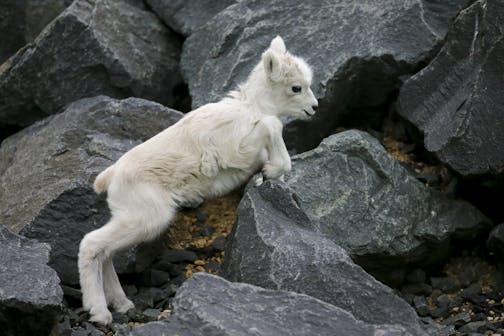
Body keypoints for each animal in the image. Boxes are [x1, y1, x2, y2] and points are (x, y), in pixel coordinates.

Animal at [77, 35, 316, 324]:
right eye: (296, 88)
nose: (314, 108)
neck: (250, 109)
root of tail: (110, 177)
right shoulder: (240, 147)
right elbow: (274, 125)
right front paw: (271, 171)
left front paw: (267, 174)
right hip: (147, 218)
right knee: (91, 244)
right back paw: (99, 313)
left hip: (132, 220)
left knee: (106, 253)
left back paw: (122, 304)